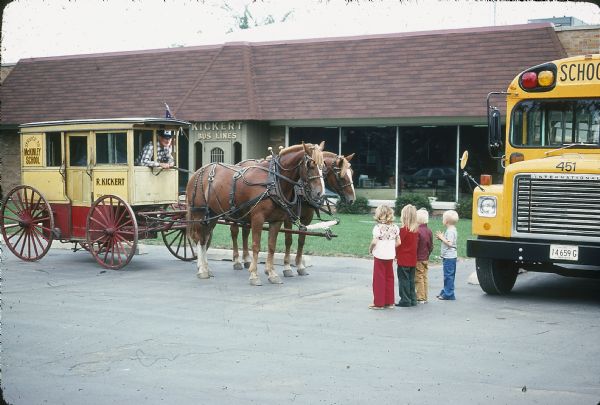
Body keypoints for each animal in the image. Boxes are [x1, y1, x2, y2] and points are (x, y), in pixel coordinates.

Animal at [189, 142, 326, 284]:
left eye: (323, 165)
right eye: (310, 165)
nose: (320, 193)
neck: (273, 182)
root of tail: (198, 172)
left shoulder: (276, 220)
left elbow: (271, 246)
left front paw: (272, 273)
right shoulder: (257, 219)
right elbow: (256, 246)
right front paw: (254, 274)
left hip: (212, 215)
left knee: (205, 238)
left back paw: (206, 267)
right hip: (199, 213)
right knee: (199, 238)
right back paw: (202, 269)